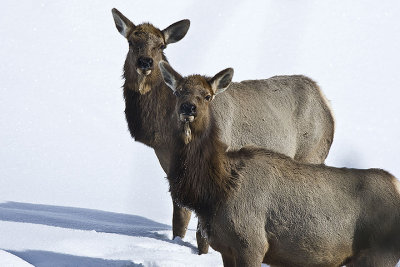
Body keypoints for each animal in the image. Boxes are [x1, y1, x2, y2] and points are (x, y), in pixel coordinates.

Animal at [111, 7, 336, 255]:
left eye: (162, 45)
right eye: (131, 41)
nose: (145, 62)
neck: (164, 129)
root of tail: (326, 103)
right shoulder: (168, 162)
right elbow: (180, 216)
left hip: (311, 153)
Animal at [159, 61, 400, 267]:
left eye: (207, 96)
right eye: (178, 91)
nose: (188, 108)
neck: (216, 190)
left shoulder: (251, 242)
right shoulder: (226, 248)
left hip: (381, 253)